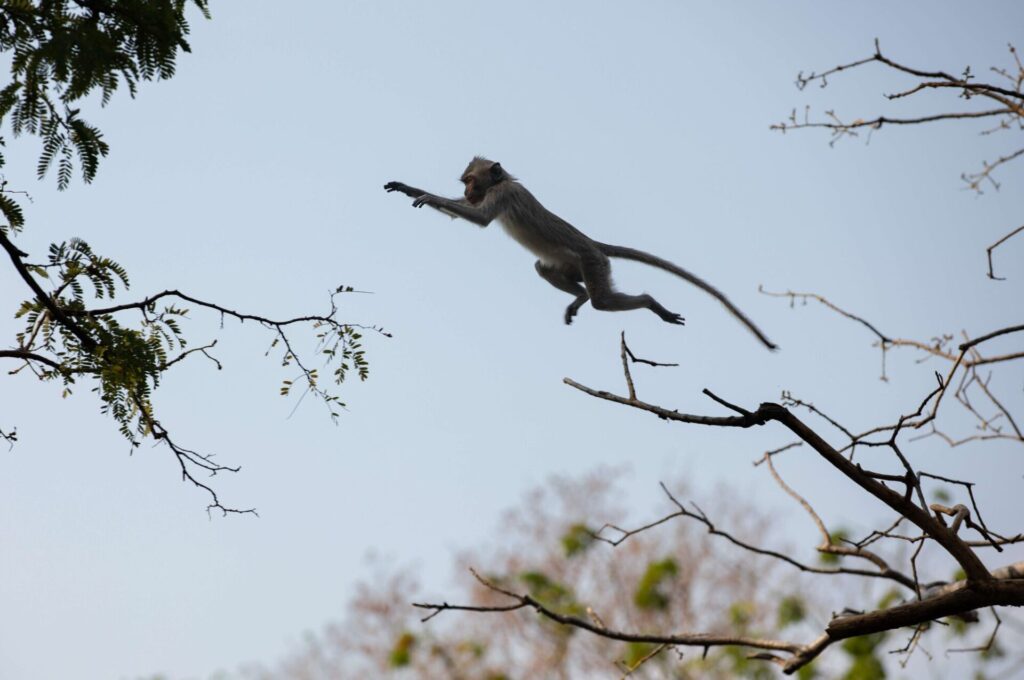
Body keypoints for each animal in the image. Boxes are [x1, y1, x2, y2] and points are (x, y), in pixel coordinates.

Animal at [384, 157, 777, 350]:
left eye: (470, 181)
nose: (468, 192)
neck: (502, 182)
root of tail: (593, 243)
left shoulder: (503, 196)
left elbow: (480, 219)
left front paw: (427, 196)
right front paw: (408, 188)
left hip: (593, 262)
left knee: (603, 298)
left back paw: (648, 303)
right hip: (572, 263)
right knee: (544, 269)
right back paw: (580, 298)